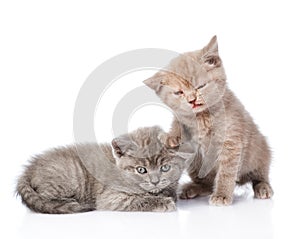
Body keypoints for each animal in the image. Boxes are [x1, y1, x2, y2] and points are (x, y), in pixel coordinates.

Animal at [16, 126, 192, 214]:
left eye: (165, 167)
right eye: (141, 170)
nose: (155, 181)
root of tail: (29, 168)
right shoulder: (111, 197)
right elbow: (137, 200)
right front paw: (163, 202)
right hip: (69, 178)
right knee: (43, 197)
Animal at [144, 35, 274, 205]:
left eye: (200, 86)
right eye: (179, 92)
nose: (192, 100)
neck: (202, 117)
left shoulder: (231, 142)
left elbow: (226, 171)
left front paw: (222, 195)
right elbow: (178, 122)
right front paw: (171, 136)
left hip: (259, 153)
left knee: (260, 175)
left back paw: (263, 187)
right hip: (196, 163)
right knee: (207, 183)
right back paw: (193, 189)